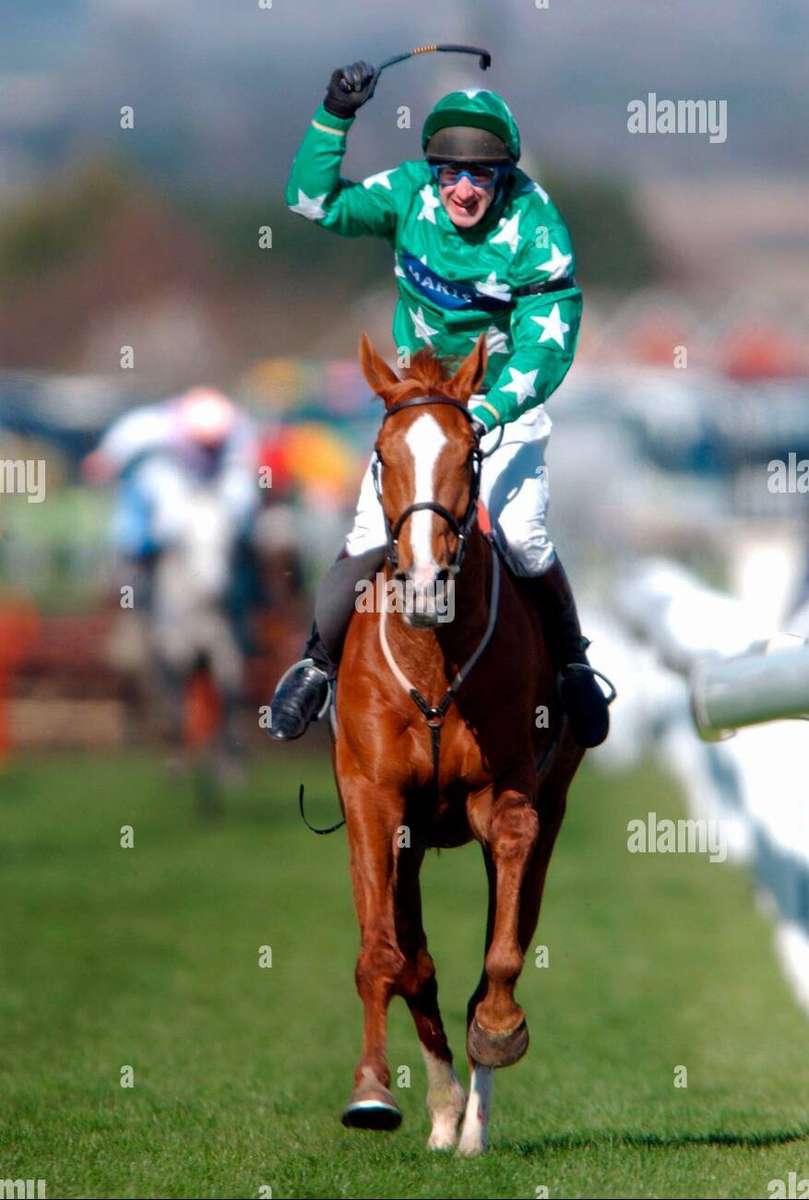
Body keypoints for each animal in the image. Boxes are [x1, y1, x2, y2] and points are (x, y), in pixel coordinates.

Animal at [331, 333, 583, 1156]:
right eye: (382, 455)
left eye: (471, 451)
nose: (422, 580)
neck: (433, 660)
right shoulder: (376, 801)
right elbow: (386, 956)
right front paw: (373, 1093)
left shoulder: (509, 802)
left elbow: (500, 955)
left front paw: (497, 1034)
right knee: (414, 960)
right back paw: (444, 1114)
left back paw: (471, 1119)